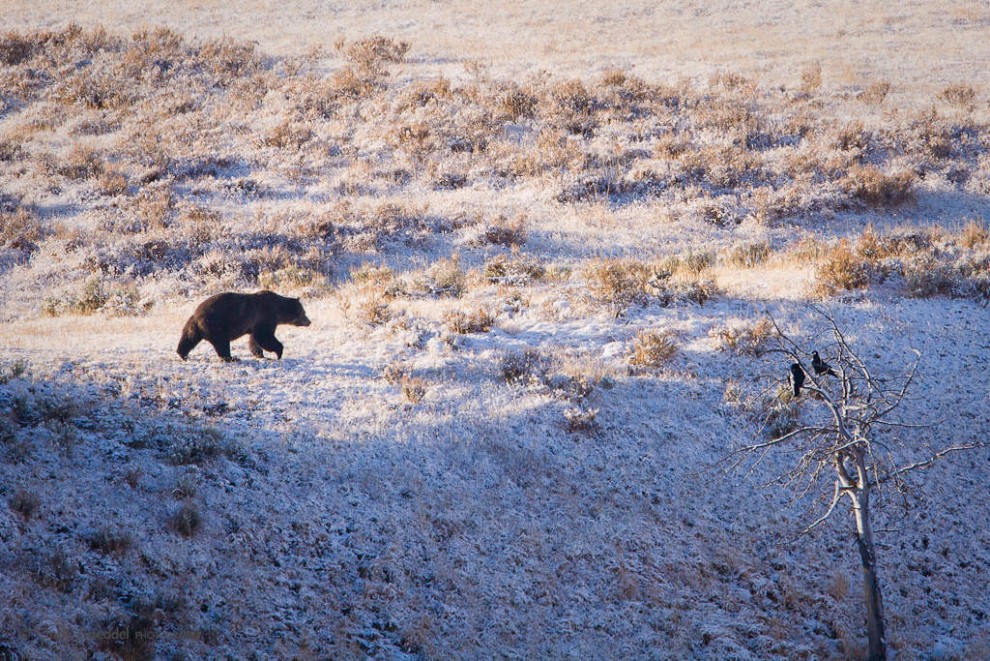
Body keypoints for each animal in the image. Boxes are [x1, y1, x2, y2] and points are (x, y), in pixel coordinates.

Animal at [177, 290, 310, 360]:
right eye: (304, 312)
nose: (309, 322)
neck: (279, 311)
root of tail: (197, 315)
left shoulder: (255, 323)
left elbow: (255, 339)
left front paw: (259, 354)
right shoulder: (266, 315)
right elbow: (264, 336)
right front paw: (279, 352)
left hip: (193, 325)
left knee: (188, 338)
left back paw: (182, 354)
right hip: (217, 323)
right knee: (222, 343)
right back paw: (232, 358)